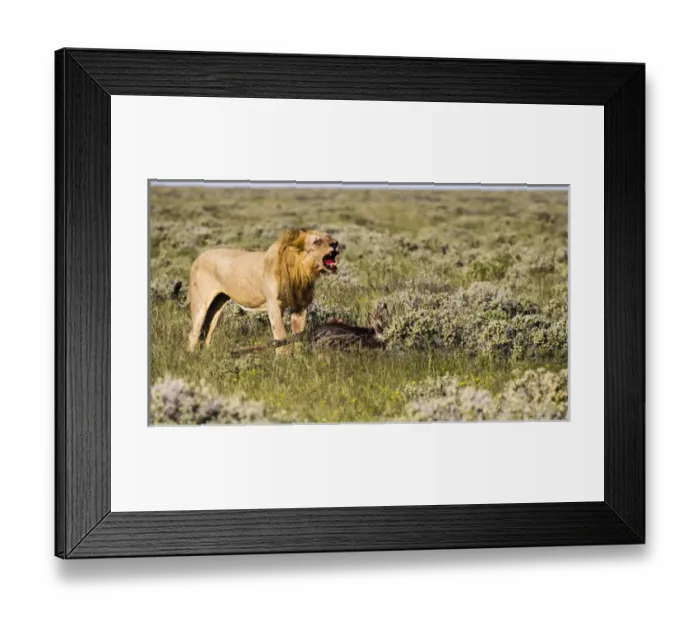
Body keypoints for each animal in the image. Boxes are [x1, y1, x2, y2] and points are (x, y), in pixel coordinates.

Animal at [182, 229, 341, 351]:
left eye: (329, 237)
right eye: (317, 241)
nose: (336, 243)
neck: (301, 271)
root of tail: (197, 259)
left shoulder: (300, 306)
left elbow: (298, 334)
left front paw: (299, 358)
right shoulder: (274, 305)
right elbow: (280, 334)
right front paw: (283, 361)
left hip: (217, 305)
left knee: (208, 332)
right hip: (200, 304)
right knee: (193, 334)